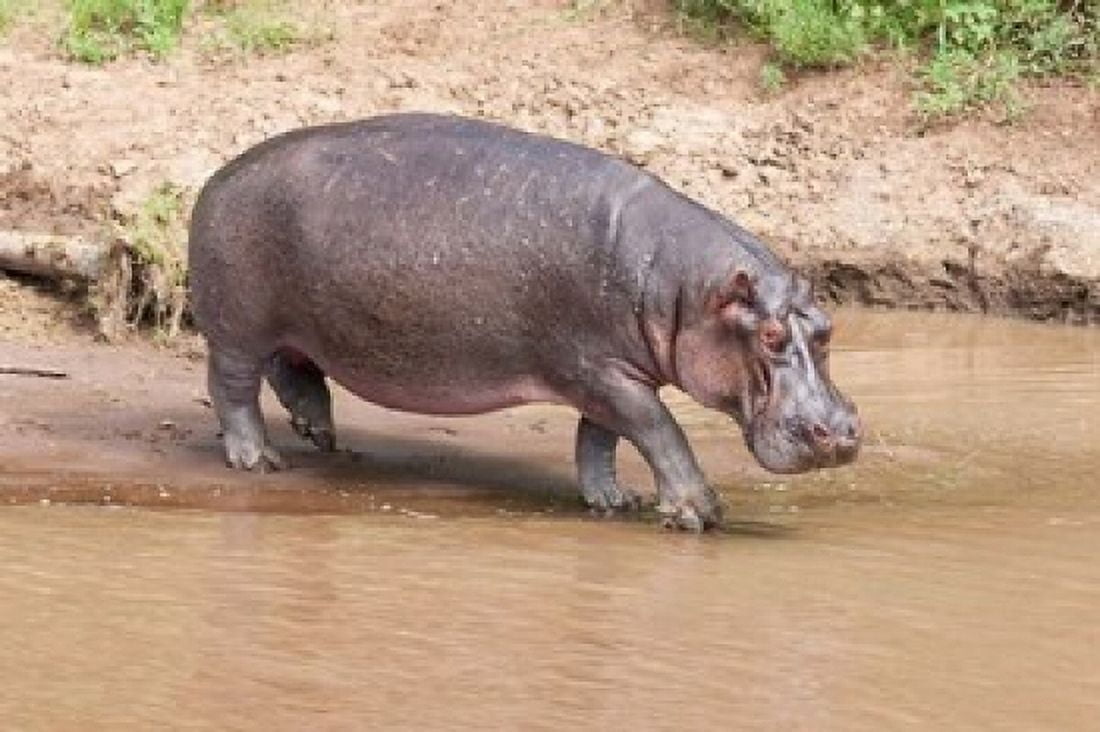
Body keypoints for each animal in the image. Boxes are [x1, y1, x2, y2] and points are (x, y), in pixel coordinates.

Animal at [188, 113, 860, 530]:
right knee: (232, 387)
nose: (840, 432)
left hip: (302, 323)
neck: (683, 289)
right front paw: (697, 513)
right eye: (770, 336)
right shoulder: (601, 371)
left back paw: (319, 433)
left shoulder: (610, 372)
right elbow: (660, 430)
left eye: (827, 328)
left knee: (292, 367)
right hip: (237, 327)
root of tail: (217, 175)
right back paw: (258, 461)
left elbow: (599, 439)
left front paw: (614, 501)